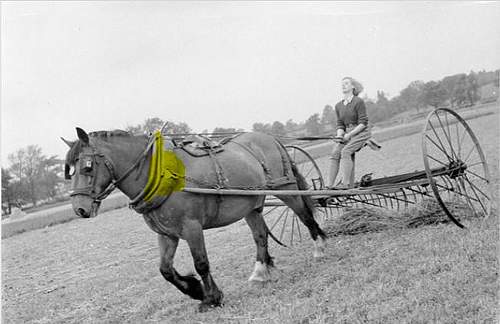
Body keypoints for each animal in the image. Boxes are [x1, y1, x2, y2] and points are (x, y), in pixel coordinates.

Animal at [61, 126, 328, 312]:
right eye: (68, 170)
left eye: (87, 167)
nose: (79, 209)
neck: (161, 173)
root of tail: (268, 138)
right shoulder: (166, 233)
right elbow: (165, 270)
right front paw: (195, 290)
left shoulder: (191, 227)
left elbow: (201, 263)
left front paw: (211, 298)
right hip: (251, 205)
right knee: (260, 235)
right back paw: (260, 272)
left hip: (287, 189)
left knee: (305, 216)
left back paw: (320, 249)